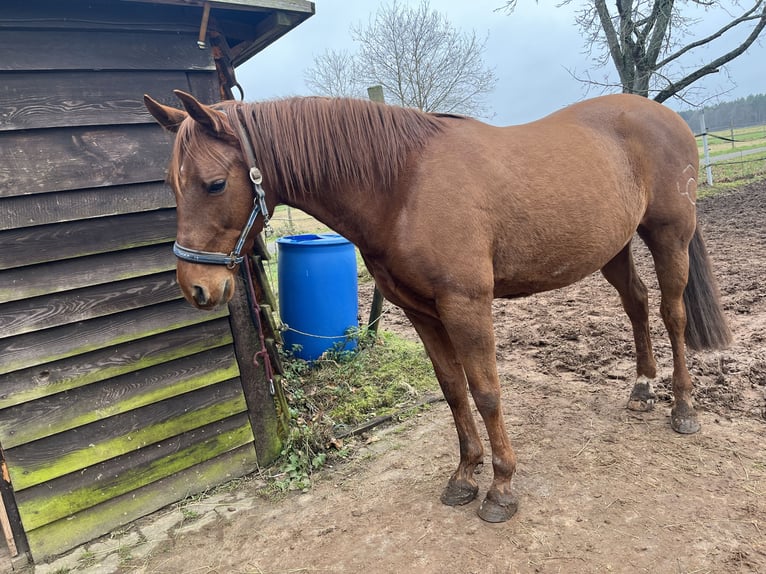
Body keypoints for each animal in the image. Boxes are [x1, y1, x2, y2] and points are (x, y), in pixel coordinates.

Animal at [143, 90, 731, 523]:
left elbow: (487, 392)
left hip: (669, 235)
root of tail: (666, 115)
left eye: (214, 184)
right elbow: (453, 391)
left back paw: (683, 408)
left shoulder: (466, 305)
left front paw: (501, 488)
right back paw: (642, 388)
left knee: (673, 314)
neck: (403, 184)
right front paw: (465, 476)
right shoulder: (421, 311)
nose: (196, 287)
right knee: (637, 304)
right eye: (172, 184)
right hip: (612, 248)